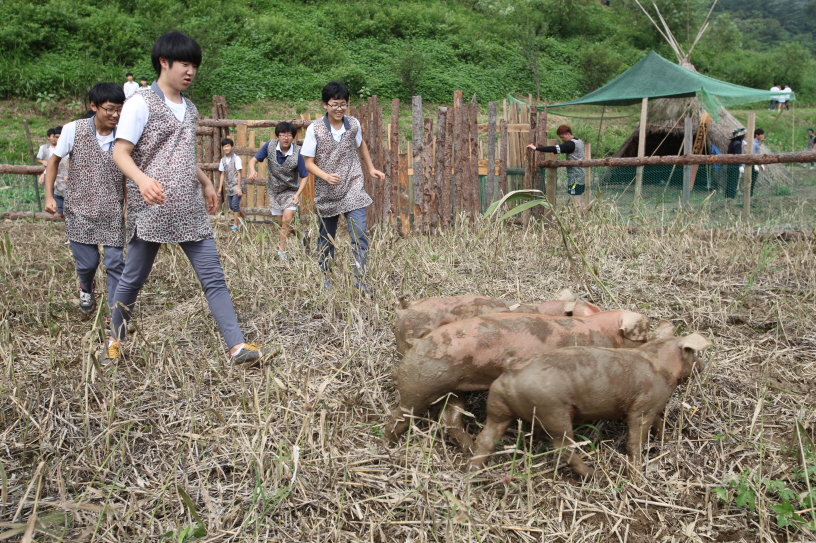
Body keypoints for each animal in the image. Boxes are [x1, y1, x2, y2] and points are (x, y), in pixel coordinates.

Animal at [384, 312, 668, 452]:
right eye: (644, 334)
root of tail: (416, 342)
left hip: (455, 388)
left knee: (450, 420)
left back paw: (470, 449)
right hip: (421, 383)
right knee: (400, 413)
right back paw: (386, 445)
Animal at [468, 334, 712, 478]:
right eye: (693, 353)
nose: (703, 365)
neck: (662, 365)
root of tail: (512, 369)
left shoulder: (652, 405)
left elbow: (658, 421)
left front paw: (668, 438)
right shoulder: (643, 407)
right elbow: (635, 439)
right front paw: (637, 474)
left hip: (498, 407)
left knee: (486, 438)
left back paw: (473, 473)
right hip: (552, 412)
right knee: (563, 448)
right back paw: (593, 474)